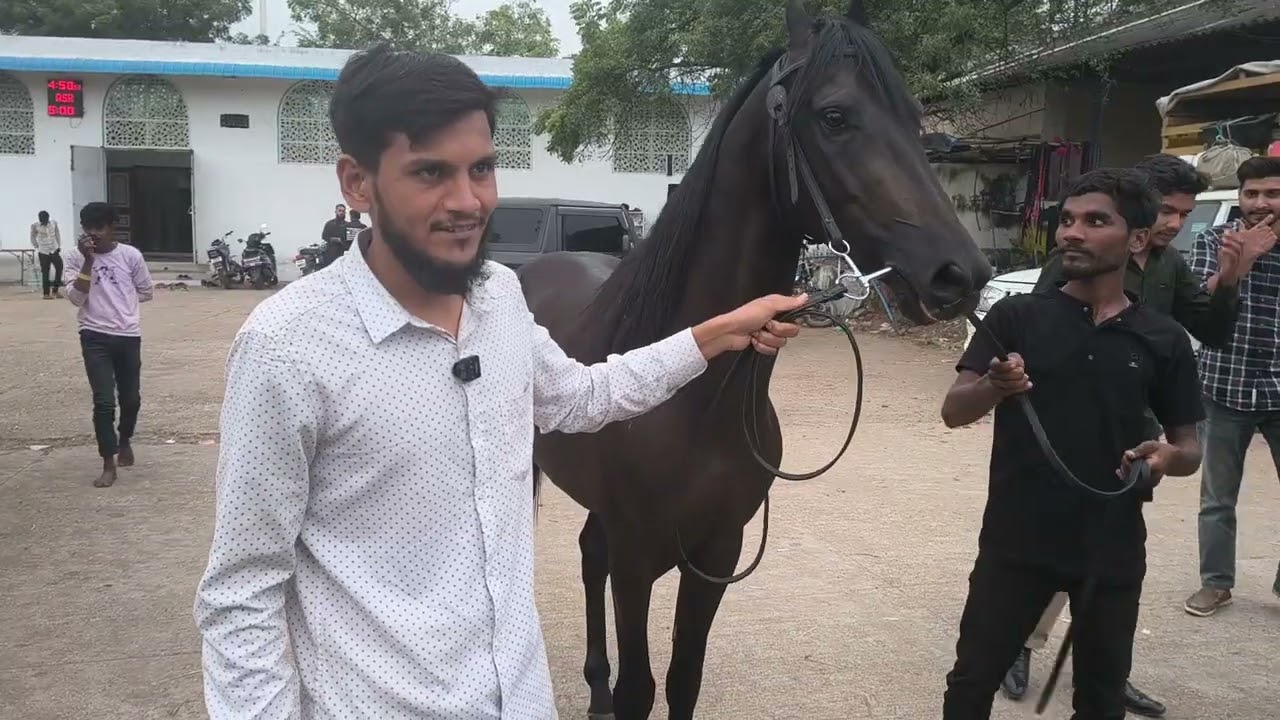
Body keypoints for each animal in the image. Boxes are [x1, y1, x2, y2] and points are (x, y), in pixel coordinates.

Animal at [516, 2, 992, 717]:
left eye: (915, 119)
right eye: (834, 116)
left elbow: (684, 677)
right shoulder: (638, 556)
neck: (692, 400)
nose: (959, 274)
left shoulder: (717, 551)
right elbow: (640, 689)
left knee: (587, 553)